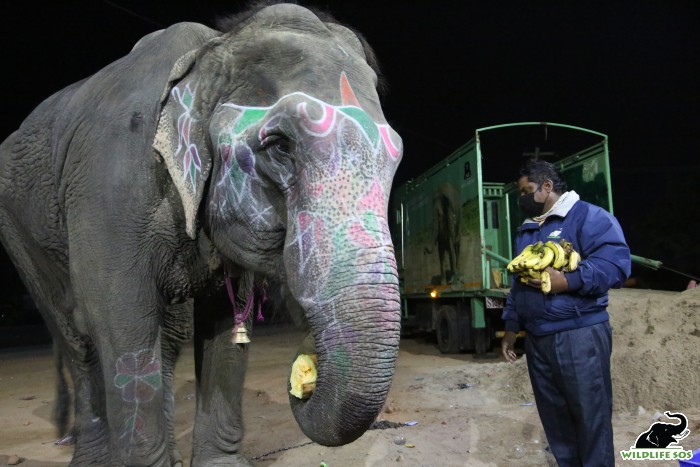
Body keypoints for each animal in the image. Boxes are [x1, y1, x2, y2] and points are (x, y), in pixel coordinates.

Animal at [0, 2, 402, 464]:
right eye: (280, 145)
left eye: (395, 157)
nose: (304, 378)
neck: (211, 51)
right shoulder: (109, 191)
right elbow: (122, 319)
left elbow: (227, 324)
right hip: (18, 229)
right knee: (78, 337)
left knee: (168, 337)